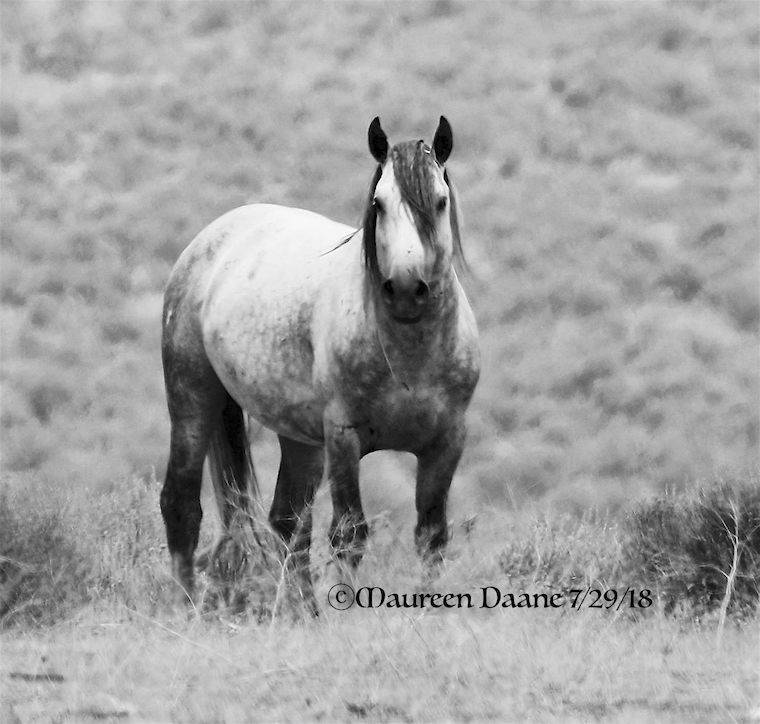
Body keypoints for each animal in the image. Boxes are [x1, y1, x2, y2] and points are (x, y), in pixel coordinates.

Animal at [160, 116, 480, 611]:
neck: (409, 357)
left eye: (440, 201)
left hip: (300, 440)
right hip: (192, 400)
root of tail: (209, 240)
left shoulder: (446, 441)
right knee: (181, 504)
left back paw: (303, 613)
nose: (407, 290)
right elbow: (349, 535)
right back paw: (187, 607)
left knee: (287, 521)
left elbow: (431, 537)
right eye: (378, 203)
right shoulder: (344, 438)